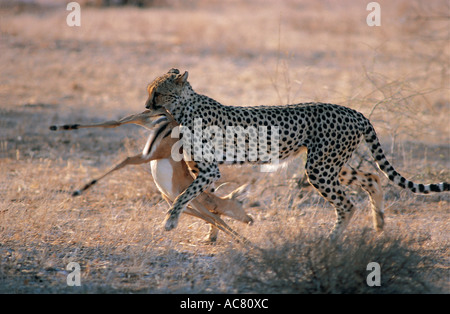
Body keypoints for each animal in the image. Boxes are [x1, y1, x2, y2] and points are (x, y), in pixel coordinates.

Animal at [146, 67, 448, 237]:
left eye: (158, 92)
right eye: (149, 91)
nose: (147, 106)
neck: (184, 107)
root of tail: (354, 111)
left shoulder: (210, 170)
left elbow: (186, 195)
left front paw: (171, 221)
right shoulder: (205, 172)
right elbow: (210, 202)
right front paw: (212, 235)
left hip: (320, 167)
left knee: (347, 204)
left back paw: (333, 240)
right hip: (330, 164)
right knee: (372, 178)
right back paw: (379, 225)